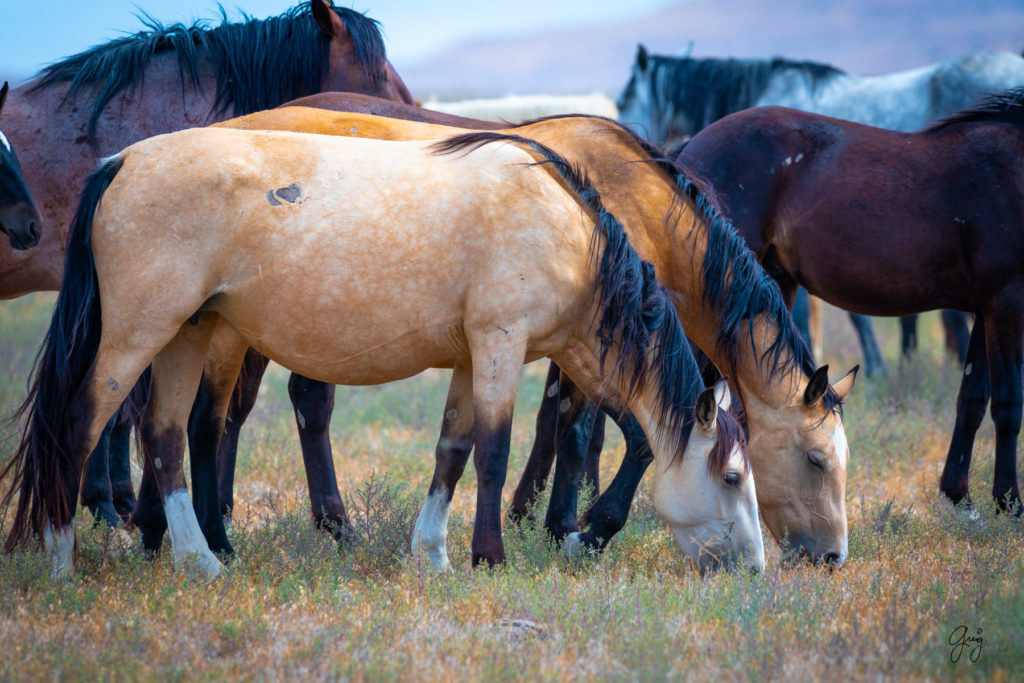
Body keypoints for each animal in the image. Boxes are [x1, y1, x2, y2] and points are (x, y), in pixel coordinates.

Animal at [2, 126, 770, 577]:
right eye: (733, 477)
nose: (759, 569)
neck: (564, 231)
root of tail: (122, 158)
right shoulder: (499, 343)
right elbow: (493, 453)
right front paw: (489, 556)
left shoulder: (469, 359)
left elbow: (452, 451)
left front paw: (432, 554)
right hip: (138, 334)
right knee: (80, 425)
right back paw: (63, 558)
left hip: (188, 334)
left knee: (164, 439)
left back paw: (201, 562)